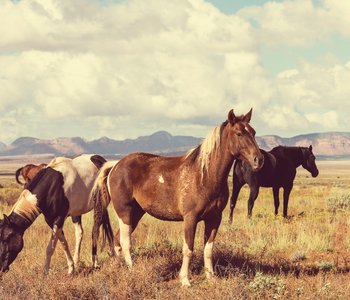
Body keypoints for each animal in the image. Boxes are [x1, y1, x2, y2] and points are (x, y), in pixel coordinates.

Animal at [90, 109, 262, 288]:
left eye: (254, 132)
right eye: (239, 133)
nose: (259, 159)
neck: (205, 175)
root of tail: (115, 166)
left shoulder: (215, 218)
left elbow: (208, 249)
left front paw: (211, 277)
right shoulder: (190, 219)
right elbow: (188, 249)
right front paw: (185, 280)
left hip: (136, 213)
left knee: (117, 241)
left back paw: (117, 269)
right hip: (125, 212)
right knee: (125, 242)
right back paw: (132, 271)